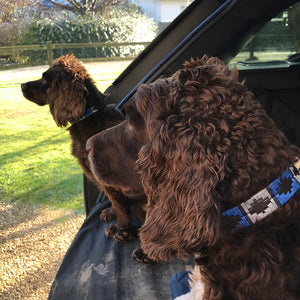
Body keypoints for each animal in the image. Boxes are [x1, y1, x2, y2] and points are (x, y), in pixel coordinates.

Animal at [20, 55, 133, 226]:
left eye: (45, 79)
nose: (21, 85)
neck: (88, 115)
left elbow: (117, 201)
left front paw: (121, 227)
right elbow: (112, 199)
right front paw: (112, 213)